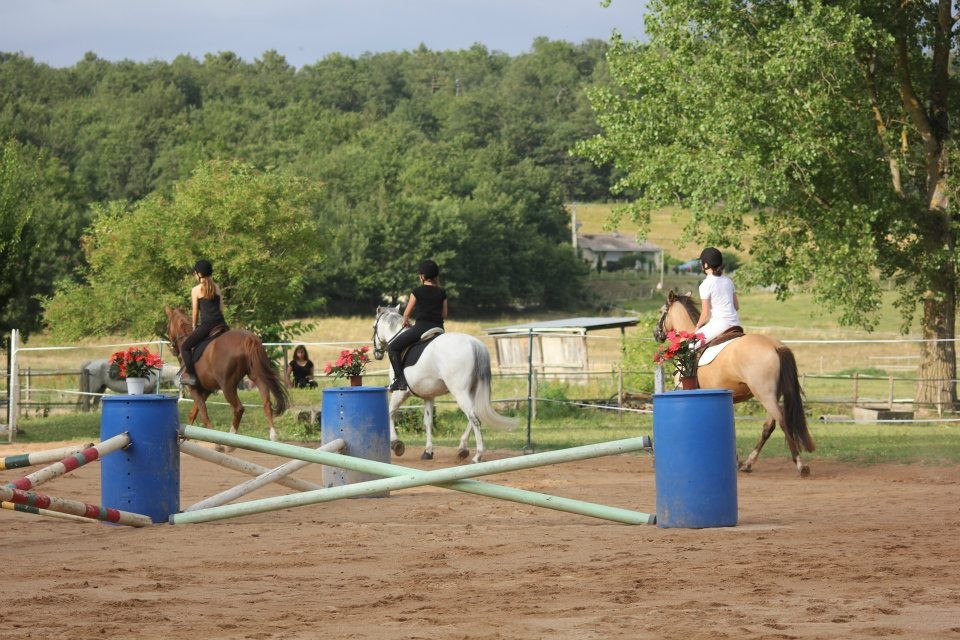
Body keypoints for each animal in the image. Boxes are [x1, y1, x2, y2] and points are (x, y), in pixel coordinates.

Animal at [163, 306, 288, 450]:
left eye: (167, 326)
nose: (173, 349)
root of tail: (248, 339)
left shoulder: (194, 389)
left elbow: (204, 415)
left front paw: (216, 443)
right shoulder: (205, 390)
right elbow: (193, 412)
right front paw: (186, 436)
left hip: (227, 386)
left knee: (239, 408)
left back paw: (230, 441)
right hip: (258, 377)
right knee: (267, 404)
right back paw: (273, 436)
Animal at [660, 290, 816, 476]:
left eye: (661, 312)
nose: (656, 334)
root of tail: (775, 346)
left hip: (764, 394)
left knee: (782, 422)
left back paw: (800, 465)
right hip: (772, 395)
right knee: (768, 426)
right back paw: (748, 463)